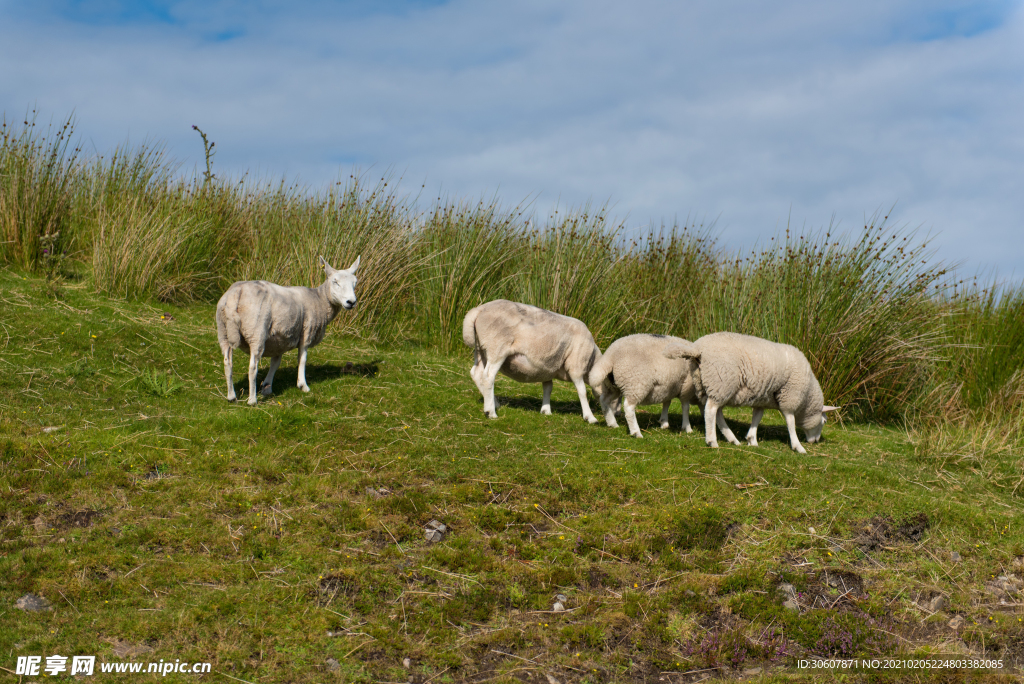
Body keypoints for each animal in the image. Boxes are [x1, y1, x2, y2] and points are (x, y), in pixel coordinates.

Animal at [215, 255, 360, 405]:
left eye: (355, 282)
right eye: (335, 282)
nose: (351, 302)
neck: (320, 299)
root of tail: (236, 293)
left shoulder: (279, 339)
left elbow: (275, 363)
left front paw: (267, 387)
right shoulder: (306, 332)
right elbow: (302, 359)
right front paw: (303, 385)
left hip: (223, 331)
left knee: (227, 362)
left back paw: (231, 396)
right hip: (256, 330)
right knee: (252, 366)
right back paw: (252, 400)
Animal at [462, 298, 602, 421]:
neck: (592, 361)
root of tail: (479, 309)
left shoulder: (547, 369)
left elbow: (548, 387)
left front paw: (546, 410)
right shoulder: (576, 365)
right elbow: (582, 391)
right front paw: (590, 417)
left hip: (480, 348)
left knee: (476, 373)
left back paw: (493, 403)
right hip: (497, 347)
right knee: (488, 376)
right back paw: (490, 412)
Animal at [663, 331, 839, 454]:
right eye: (824, 421)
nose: (815, 441)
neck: (807, 396)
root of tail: (698, 349)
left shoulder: (762, 399)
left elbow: (757, 417)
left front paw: (752, 439)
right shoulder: (790, 395)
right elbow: (790, 421)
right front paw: (797, 446)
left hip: (711, 384)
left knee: (717, 412)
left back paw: (732, 439)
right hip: (721, 381)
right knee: (711, 411)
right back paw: (712, 441)